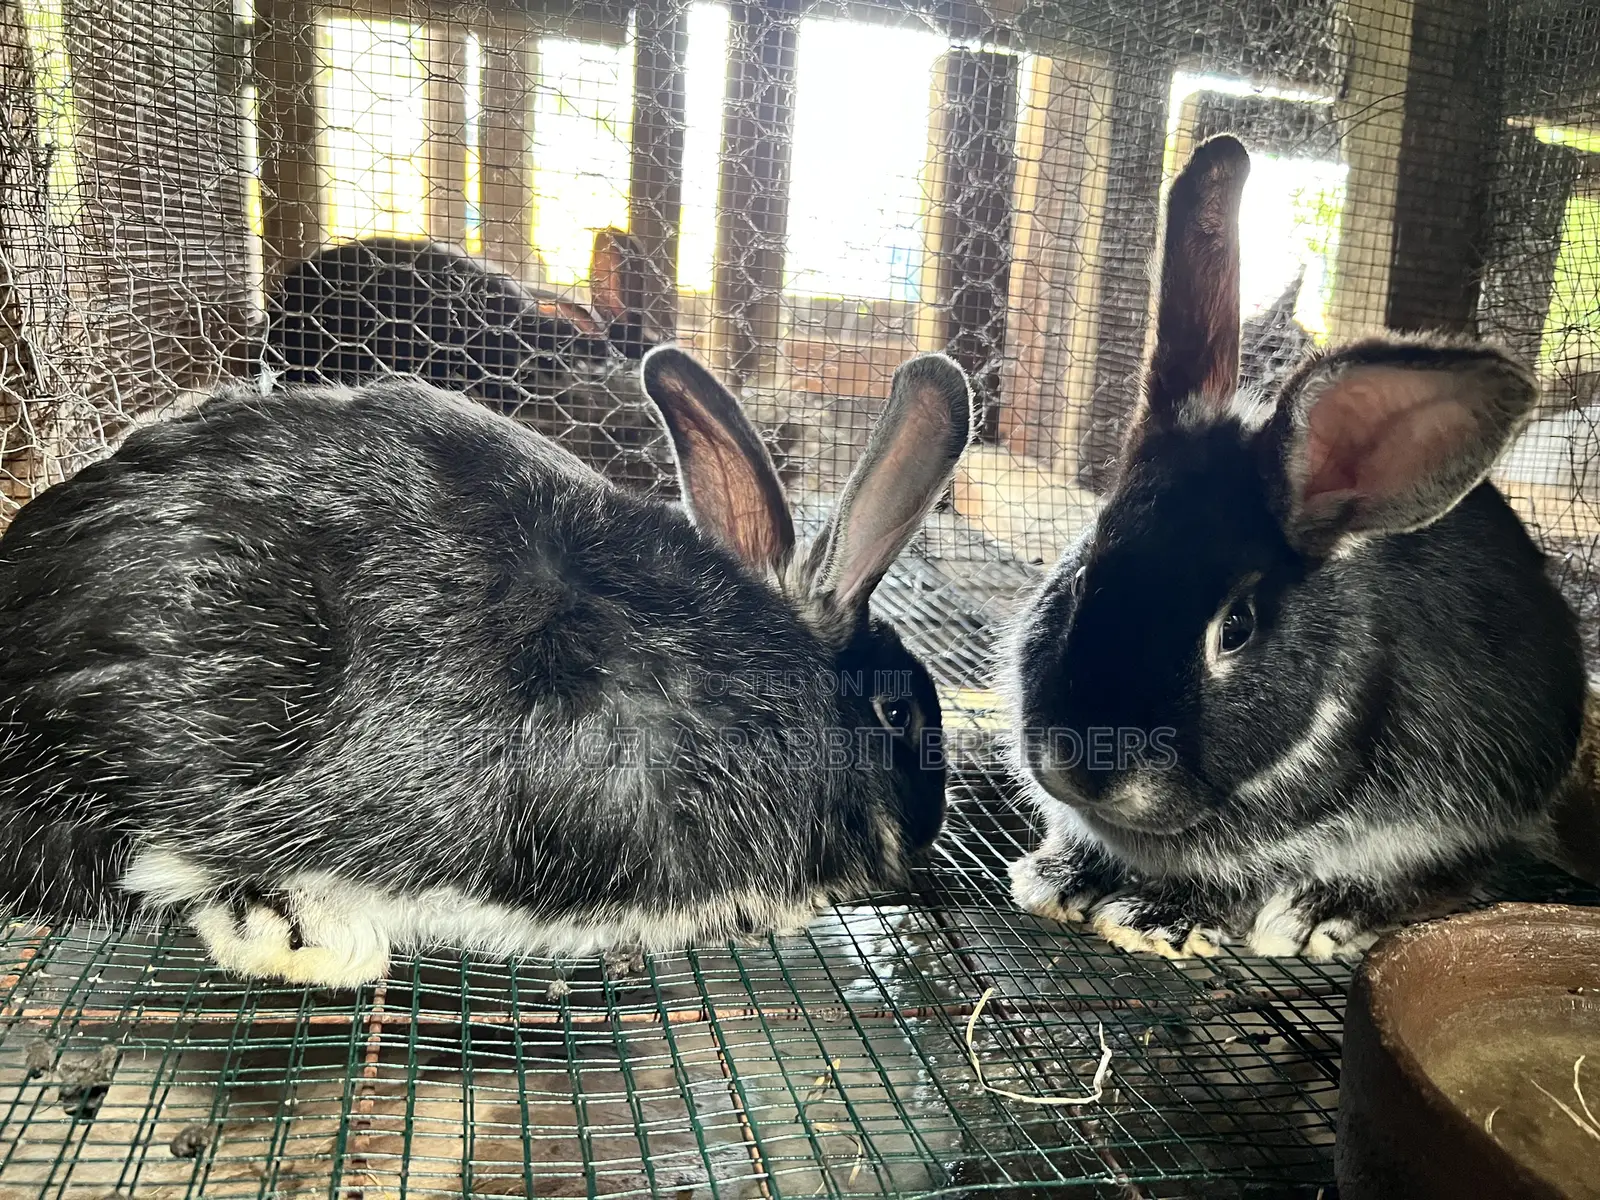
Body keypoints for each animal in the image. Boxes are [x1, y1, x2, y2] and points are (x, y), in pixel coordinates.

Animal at [1003, 134, 1586, 961]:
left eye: (1236, 628)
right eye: (1084, 575)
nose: (1086, 767)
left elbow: (1244, 881)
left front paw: (1156, 917)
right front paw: (1060, 879)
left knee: (1449, 878)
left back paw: (1325, 911)